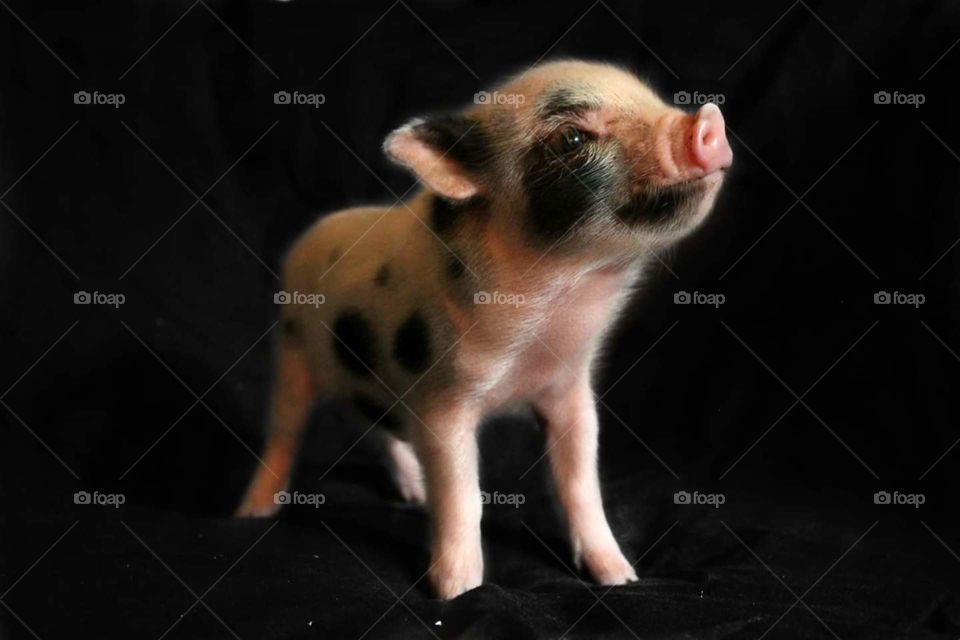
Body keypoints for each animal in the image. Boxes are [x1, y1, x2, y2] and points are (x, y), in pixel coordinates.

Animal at [236, 60, 732, 599]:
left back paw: (412, 493)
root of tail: (312, 235)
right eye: (572, 139)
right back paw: (253, 512)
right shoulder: (441, 399)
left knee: (380, 430)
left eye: (651, 98)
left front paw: (621, 577)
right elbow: (462, 494)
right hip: (292, 349)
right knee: (284, 432)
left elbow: (580, 482)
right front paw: (457, 592)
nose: (707, 121)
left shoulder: (570, 389)